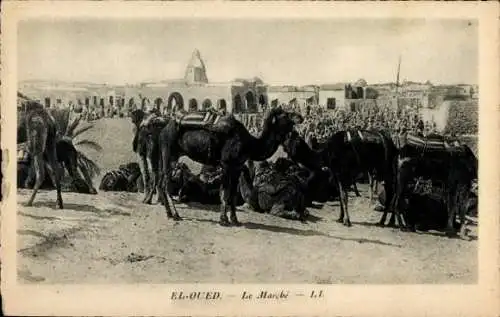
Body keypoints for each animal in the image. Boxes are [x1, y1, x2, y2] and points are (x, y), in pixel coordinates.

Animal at [159, 107, 304, 226]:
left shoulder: (237, 167)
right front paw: (223, 220)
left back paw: (168, 213)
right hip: (169, 152)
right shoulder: (226, 164)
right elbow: (224, 193)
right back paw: (176, 215)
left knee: (161, 183)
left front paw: (234, 220)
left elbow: (232, 194)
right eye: (285, 114)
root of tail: (165, 128)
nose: (300, 117)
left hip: (171, 155)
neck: (249, 144)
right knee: (166, 184)